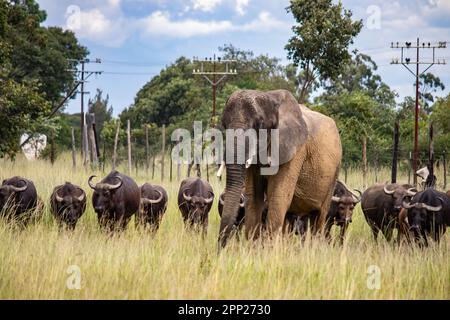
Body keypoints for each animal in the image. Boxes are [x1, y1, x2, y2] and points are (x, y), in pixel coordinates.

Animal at [218, 89, 342, 249]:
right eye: (223, 124)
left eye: (259, 124)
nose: (220, 250)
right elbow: (254, 196)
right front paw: (254, 249)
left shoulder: (295, 150)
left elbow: (278, 197)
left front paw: (269, 251)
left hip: (334, 172)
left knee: (319, 216)